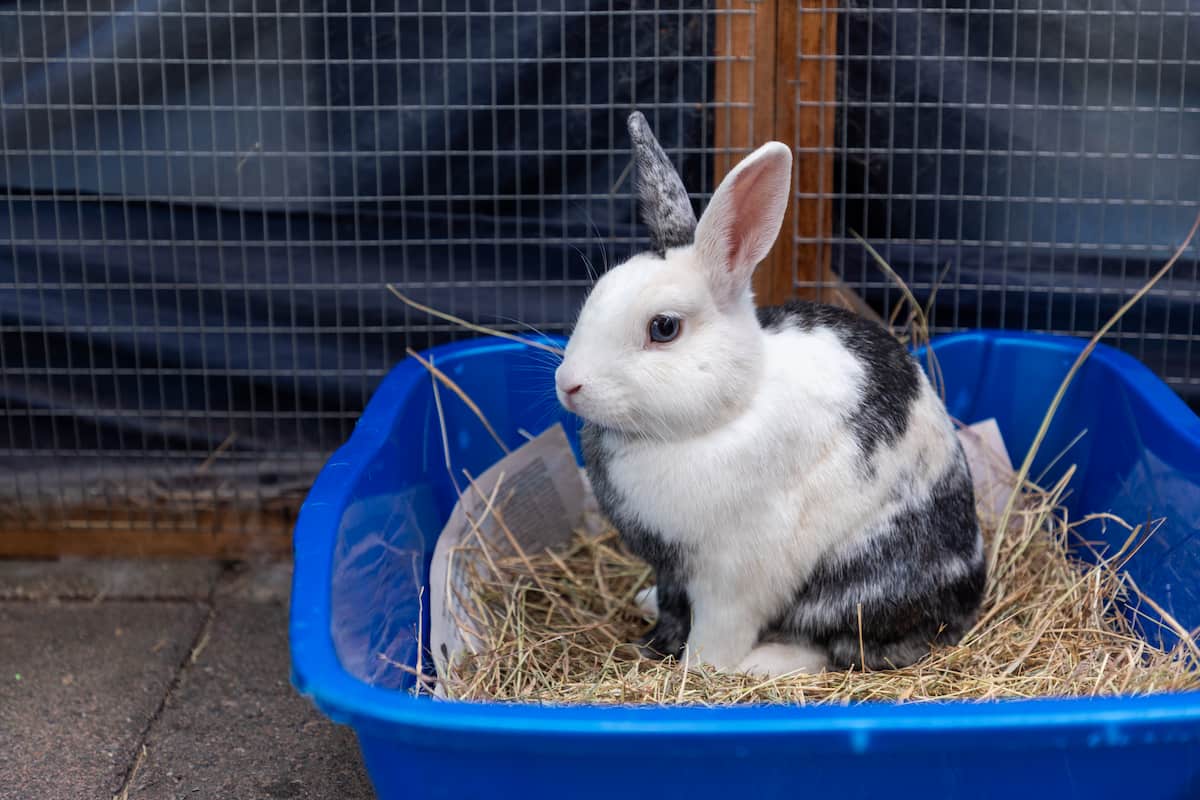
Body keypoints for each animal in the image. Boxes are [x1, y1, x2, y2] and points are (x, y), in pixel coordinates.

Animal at [554, 111, 985, 676]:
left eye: (663, 328)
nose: (568, 384)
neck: (724, 414)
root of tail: (971, 592)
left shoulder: (730, 579)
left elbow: (716, 636)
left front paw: (696, 673)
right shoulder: (671, 569)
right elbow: (671, 607)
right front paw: (654, 639)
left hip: (854, 580)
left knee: (837, 646)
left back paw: (762, 664)